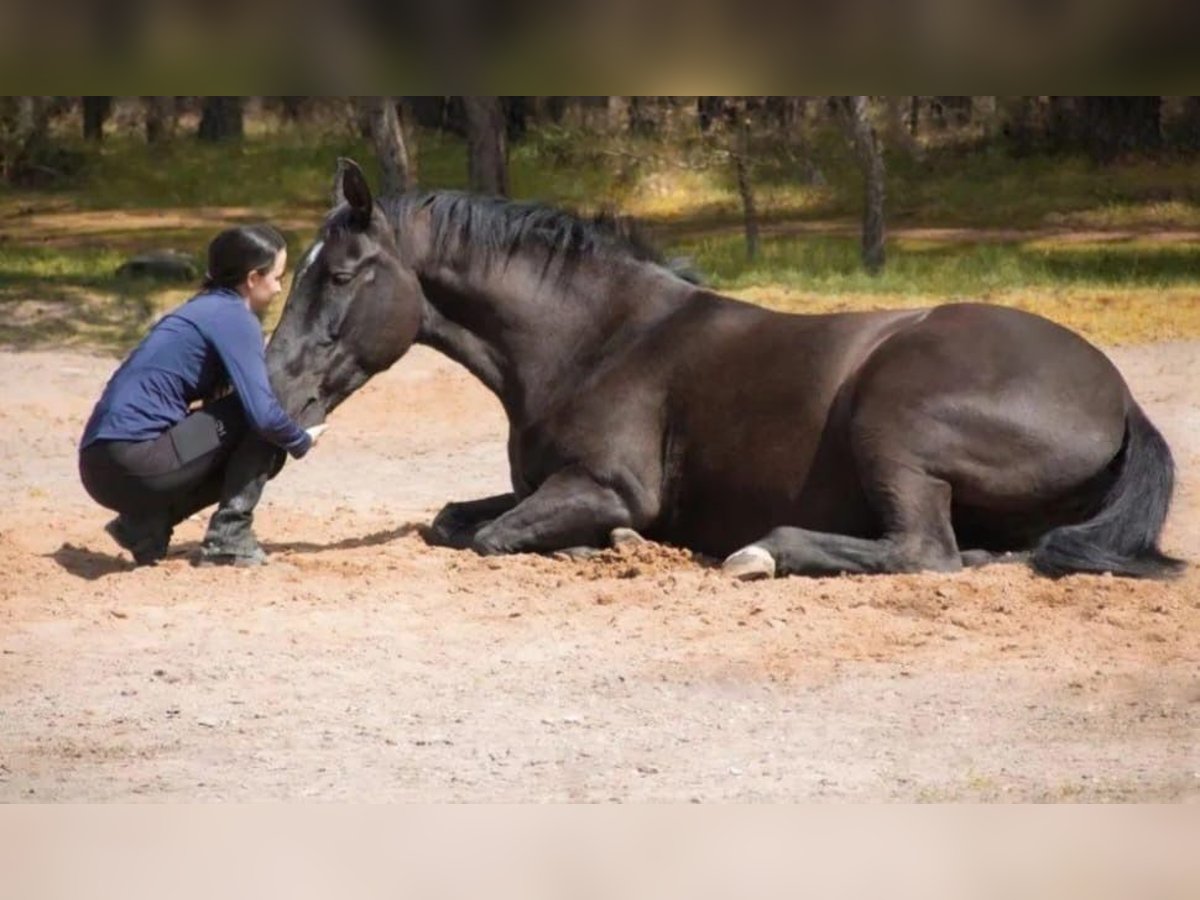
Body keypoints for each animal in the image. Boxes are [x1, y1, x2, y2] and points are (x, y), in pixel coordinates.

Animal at [246, 158, 1180, 580]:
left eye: (340, 276)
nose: (277, 387)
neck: (597, 340)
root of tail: (1120, 398)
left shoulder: (606, 488)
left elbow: (493, 536)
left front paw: (615, 545)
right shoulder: (540, 482)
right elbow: (452, 520)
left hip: (893, 422)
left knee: (924, 551)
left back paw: (759, 553)